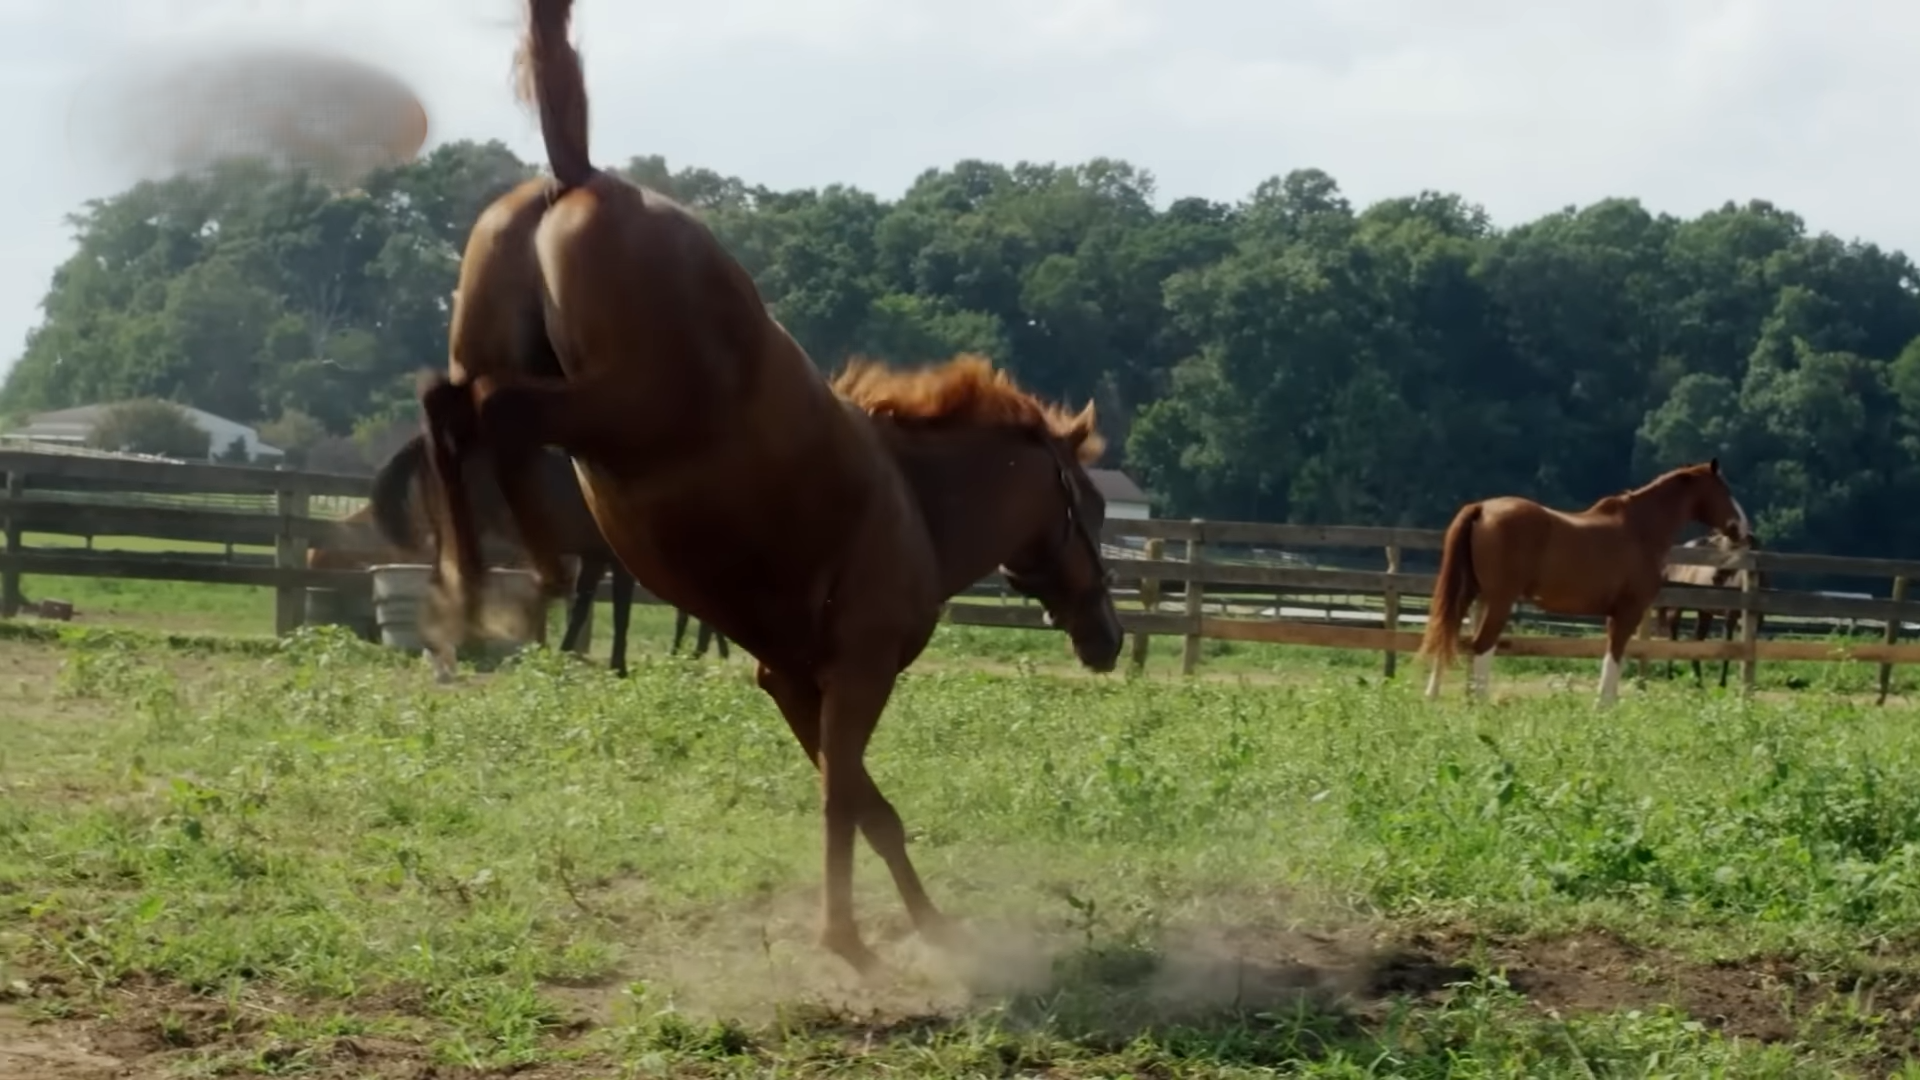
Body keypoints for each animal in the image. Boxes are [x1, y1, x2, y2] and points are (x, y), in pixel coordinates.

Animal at [409, 0, 1124, 977]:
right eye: (1093, 509)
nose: (1110, 638)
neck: (917, 506)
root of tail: (578, 176)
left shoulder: (788, 677)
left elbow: (867, 806)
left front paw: (927, 927)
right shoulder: (856, 673)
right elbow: (846, 802)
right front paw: (848, 938)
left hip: (522, 369)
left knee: (451, 407)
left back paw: (485, 583)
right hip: (615, 410)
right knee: (483, 413)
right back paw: (503, 585)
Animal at [1416, 459, 1749, 706]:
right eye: (1724, 490)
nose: (1743, 530)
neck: (1641, 529)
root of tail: (1482, 508)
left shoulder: (1614, 613)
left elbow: (1611, 653)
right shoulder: (1628, 611)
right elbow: (1615, 654)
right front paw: (1605, 706)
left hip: (1470, 593)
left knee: (1449, 633)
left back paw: (1435, 696)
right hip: (1499, 600)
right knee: (1482, 645)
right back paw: (1480, 704)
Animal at [1656, 531, 1766, 688]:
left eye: (1733, 548)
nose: (1716, 578)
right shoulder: (1729, 619)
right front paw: (1722, 683)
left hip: (1704, 613)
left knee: (1696, 641)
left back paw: (1699, 683)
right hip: (1676, 609)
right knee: (1673, 638)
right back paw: (1670, 676)